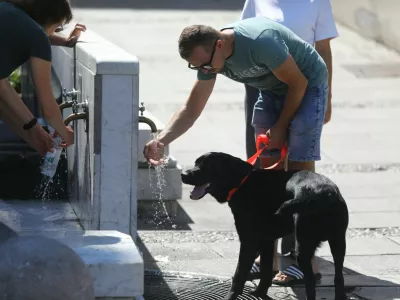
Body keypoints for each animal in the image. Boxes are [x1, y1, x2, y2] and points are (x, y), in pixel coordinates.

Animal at [181, 152, 346, 300]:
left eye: (208, 166)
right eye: (196, 163)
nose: (183, 174)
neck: (241, 182)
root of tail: (325, 192)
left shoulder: (248, 242)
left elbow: (239, 275)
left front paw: (231, 296)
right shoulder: (267, 241)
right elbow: (266, 271)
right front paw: (260, 293)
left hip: (303, 246)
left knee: (311, 280)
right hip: (338, 243)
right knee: (339, 277)